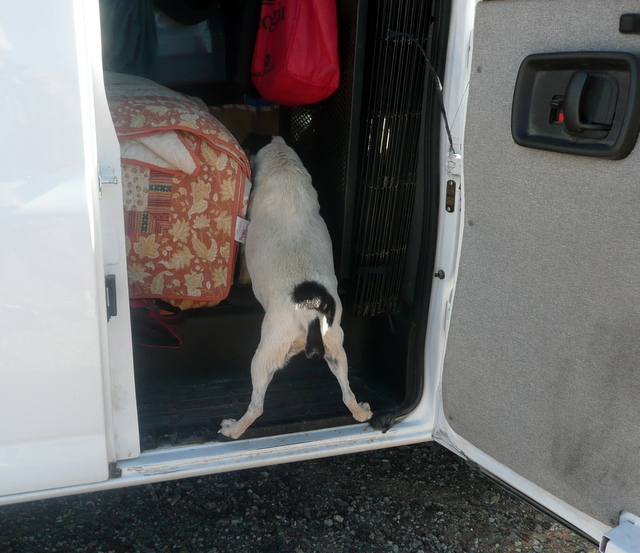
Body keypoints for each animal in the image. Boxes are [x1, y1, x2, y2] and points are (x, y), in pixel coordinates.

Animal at [219, 135, 373, 439]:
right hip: (337, 350)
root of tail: (311, 312)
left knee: (256, 407)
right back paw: (361, 412)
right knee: (347, 394)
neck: (283, 164)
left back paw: (233, 429)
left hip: (264, 355)